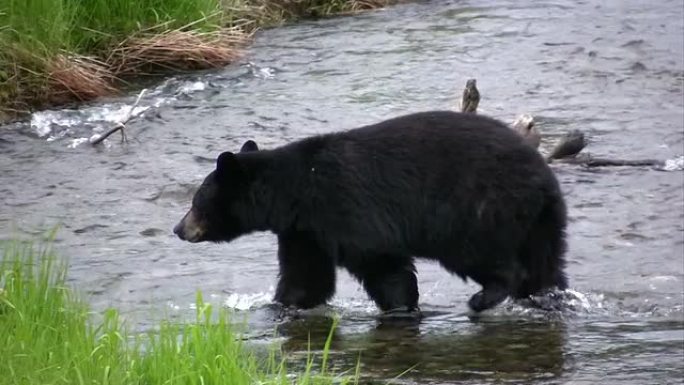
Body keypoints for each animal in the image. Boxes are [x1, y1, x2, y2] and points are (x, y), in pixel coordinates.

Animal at [174, 110, 568, 312]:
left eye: (196, 201)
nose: (178, 229)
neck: (297, 191)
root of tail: (541, 173)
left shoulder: (344, 208)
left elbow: (379, 261)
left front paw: (400, 307)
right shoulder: (305, 230)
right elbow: (306, 275)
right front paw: (283, 304)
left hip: (477, 208)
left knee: (485, 255)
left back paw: (484, 297)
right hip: (539, 218)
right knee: (546, 260)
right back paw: (546, 294)